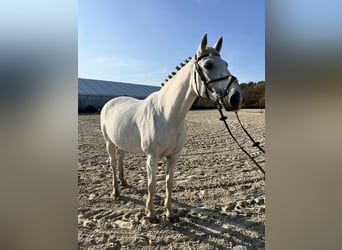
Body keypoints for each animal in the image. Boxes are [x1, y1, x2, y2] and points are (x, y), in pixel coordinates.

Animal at [100, 33, 244, 223]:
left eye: (226, 64)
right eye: (208, 65)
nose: (236, 98)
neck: (167, 114)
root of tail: (110, 102)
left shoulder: (174, 156)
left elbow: (169, 183)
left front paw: (169, 213)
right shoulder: (152, 157)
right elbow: (152, 185)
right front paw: (151, 214)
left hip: (122, 143)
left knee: (121, 160)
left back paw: (124, 183)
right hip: (109, 143)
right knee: (113, 164)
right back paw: (116, 191)